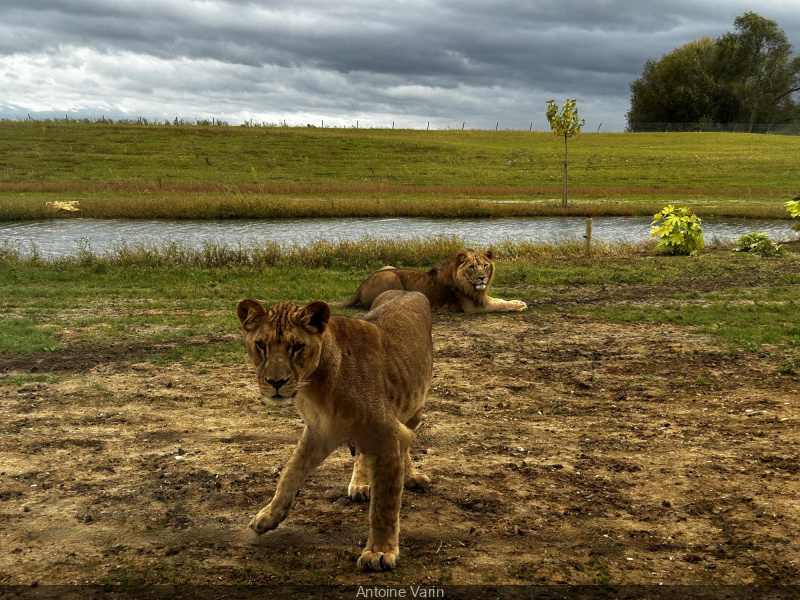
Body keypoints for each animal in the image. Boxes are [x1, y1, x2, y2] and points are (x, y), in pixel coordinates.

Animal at [238, 290, 434, 572]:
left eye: (297, 347)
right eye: (261, 345)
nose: (276, 383)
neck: (314, 385)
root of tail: (410, 290)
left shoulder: (389, 435)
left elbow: (383, 506)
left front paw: (380, 551)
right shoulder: (319, 430)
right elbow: (290, 472)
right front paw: (269, 515)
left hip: (414, 408)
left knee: (405, 444)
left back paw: (411, 476)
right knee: (363, 453)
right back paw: (361, 483)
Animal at [342, 248, 524, 314]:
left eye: (485, 266)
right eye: (472, 267)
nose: (482, 278)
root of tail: (360, 287)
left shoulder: (481, 297)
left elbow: (500, 300)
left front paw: (519, 302)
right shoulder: (472, 308)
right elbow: (500, 306)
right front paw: (519, 306)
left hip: (388, 267)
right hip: (391, 276)